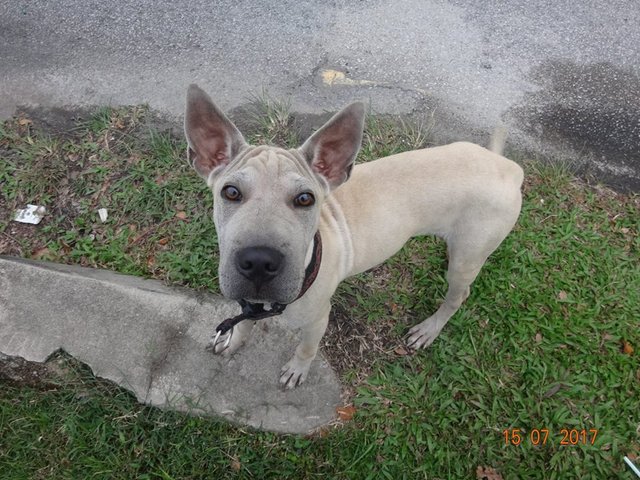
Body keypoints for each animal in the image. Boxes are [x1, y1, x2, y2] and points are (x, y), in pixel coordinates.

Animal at [185, 84, 524, 388]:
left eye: (305, 199)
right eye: (231, 192)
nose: (258, 262)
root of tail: (507, 167)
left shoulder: (318, 319)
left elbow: (306, 348)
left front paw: (297, 370)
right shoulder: (247, 302)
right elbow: (244, 324)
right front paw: (233, 340)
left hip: (467, 258)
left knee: (458, 296)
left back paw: (428, 329)